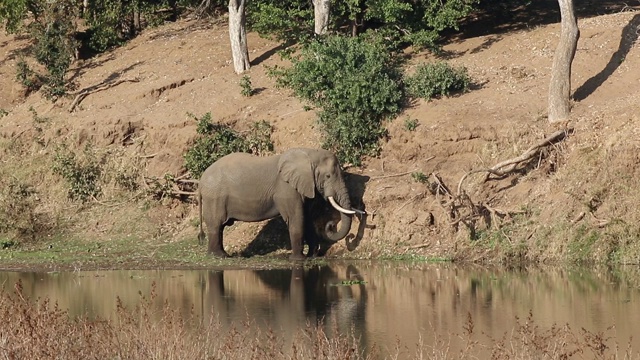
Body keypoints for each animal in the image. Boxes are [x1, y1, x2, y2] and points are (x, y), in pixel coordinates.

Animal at [196, 148, 360, 260]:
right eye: (328, 176)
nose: (330, 225)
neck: (308, 154)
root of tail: (200, 180)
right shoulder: (286, 189)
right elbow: (296, 219)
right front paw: (297, 259)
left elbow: (306, 219)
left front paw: (312, 256)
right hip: (214, 198)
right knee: (216, 225)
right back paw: (219, 256)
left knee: (219, 227)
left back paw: (222, 255)